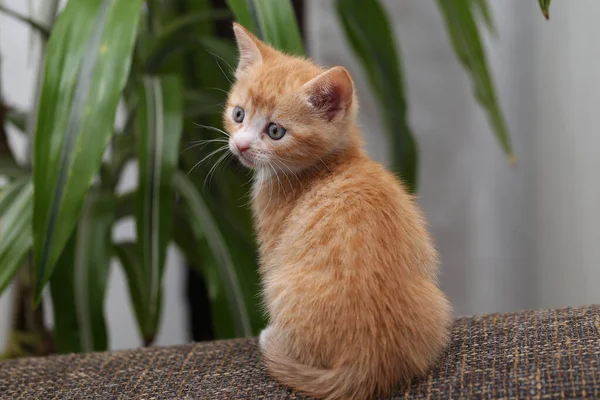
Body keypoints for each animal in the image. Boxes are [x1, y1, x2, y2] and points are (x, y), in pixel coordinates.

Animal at [224, 22, 450, 400]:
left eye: (275, 131)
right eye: (238, 114)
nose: (240, 145)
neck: (330, 164)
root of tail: (370, 361)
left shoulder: (271, 244)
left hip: (278, 286)